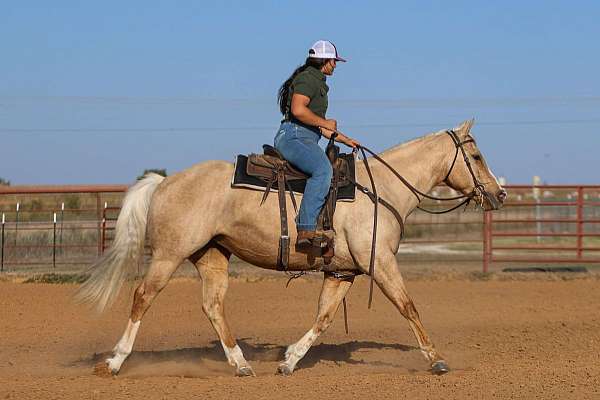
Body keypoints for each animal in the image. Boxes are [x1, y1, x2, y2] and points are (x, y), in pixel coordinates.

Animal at [75, 119, 506, 378]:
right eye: (476, 155)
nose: (499, 193)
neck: (381, 189)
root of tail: (164, 181)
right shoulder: (381, 264)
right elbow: (408, 306)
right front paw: (435, 359)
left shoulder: (342, 272)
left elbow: (324, 317)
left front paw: (289, 360)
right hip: (169, 255)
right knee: (142, 297)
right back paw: (114, 362)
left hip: (211, 256)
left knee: (213, 306)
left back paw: (241, 364)